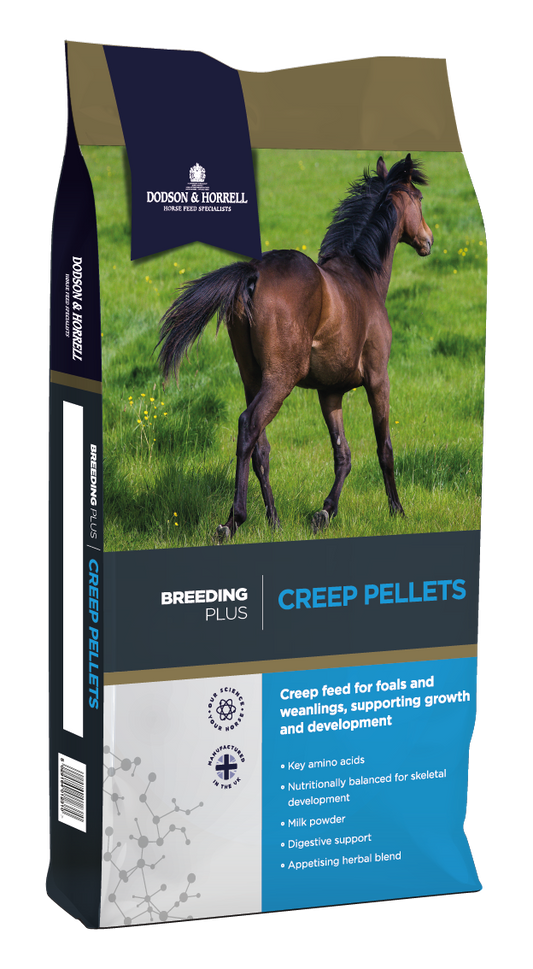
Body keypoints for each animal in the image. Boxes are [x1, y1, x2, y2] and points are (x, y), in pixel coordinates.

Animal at [157, 154, 433, 542]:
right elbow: (385, 448)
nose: (428, 240)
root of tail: (254, 273)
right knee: (248, 426)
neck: (362, 276)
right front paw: (397, 511)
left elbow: (343, 455)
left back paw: (274, 520)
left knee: (261, 448)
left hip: (252, 379)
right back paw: (233, 520)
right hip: (280, 380)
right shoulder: (379, 379)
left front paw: (325, 513)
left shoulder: (330, 393)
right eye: (418, 198)